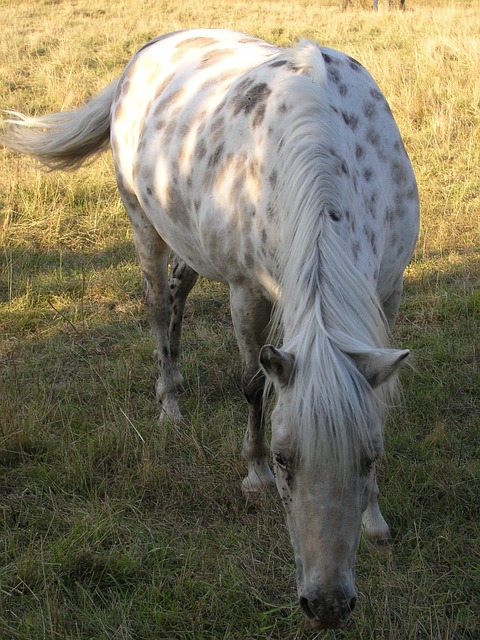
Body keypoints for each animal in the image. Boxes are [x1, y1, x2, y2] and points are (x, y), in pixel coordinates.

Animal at [0, 31, 418, 632]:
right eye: (286, 460)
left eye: (369, 457)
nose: (328, 606)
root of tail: (145, 51)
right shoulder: (247, 292)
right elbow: (253, 385)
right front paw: (254, 475)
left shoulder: (388, 291)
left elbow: (375, 402)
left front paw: (375, 520)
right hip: (143, 224)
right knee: (157, 305)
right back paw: (169, 405)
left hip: (189, 240)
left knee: (178, 293)